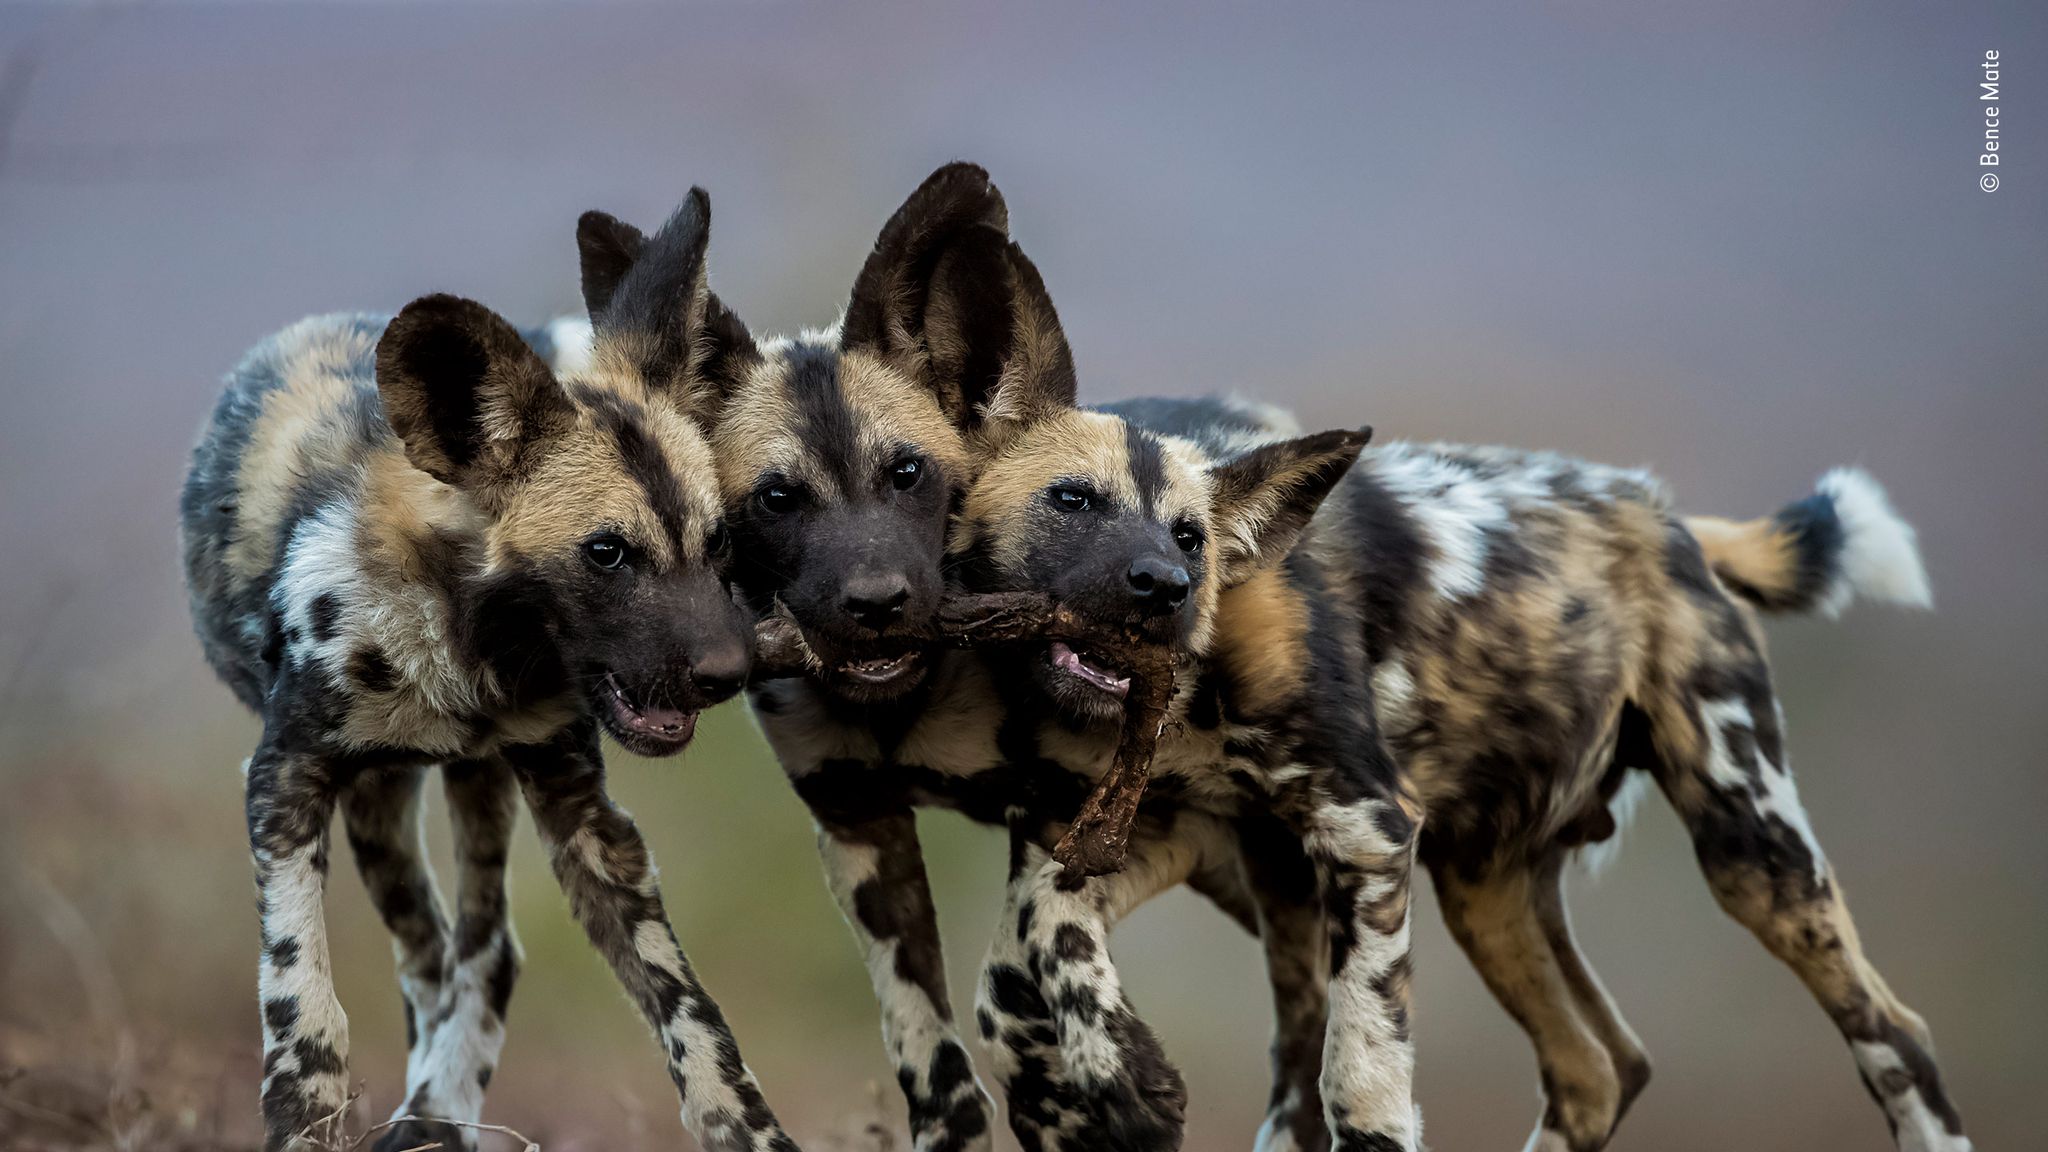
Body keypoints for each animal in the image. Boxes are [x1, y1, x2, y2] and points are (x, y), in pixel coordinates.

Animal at [180, 192, 798, 1139]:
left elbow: (695, 1018)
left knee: (485, 952)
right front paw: (305, 1121)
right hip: (381, 800)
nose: (730, 672)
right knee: (429, 955)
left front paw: (750, 1131)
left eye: (720, 540)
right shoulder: (284, 779)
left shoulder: (583, 813)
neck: (468, 658)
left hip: (467, 785)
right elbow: (301, 1004)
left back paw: (440, 1109)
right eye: (607, 553)